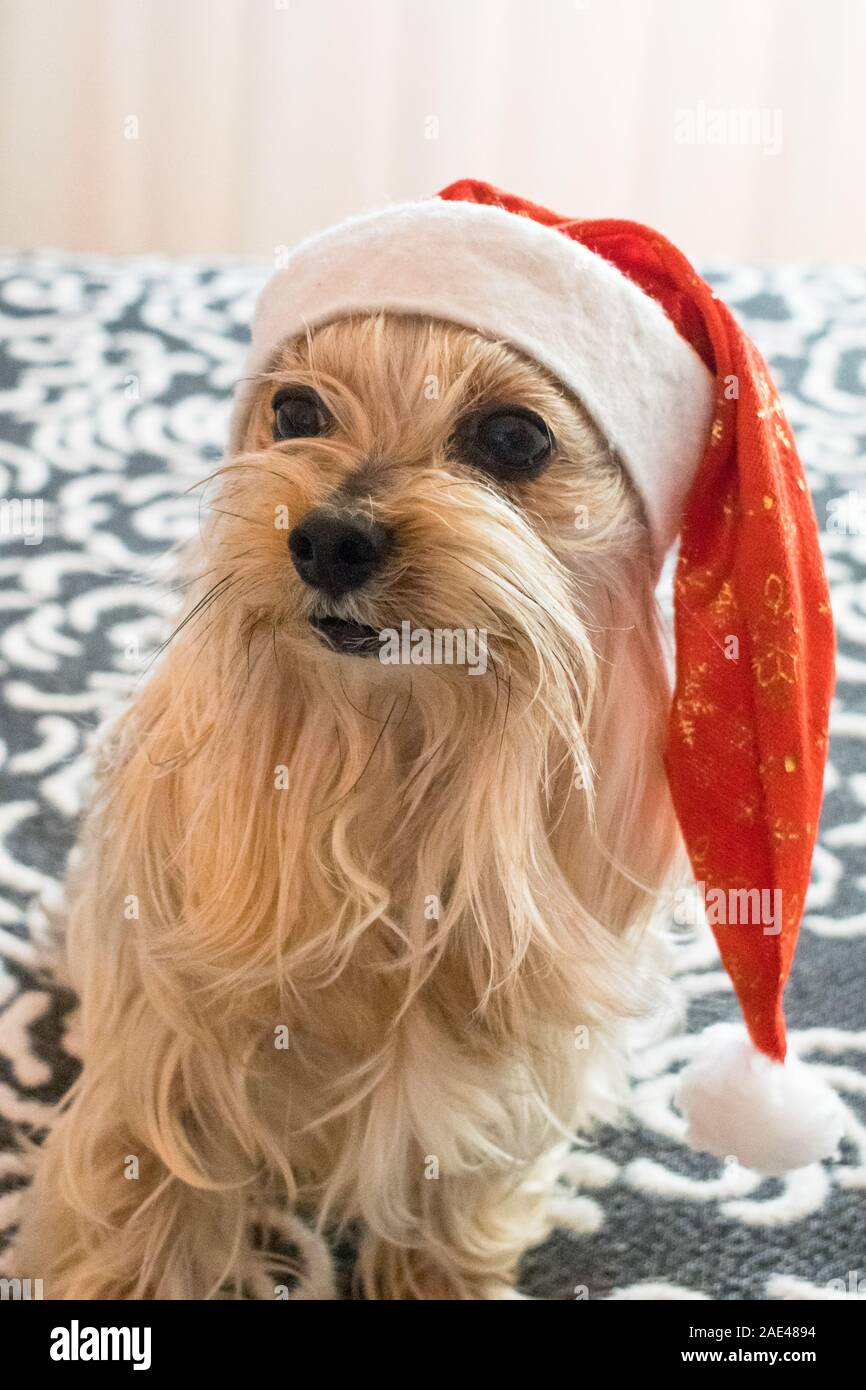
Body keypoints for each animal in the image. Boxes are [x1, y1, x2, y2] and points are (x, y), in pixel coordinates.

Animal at [16, 309, 683, 1295]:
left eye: (515, 437)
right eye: (296, 412)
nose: (328, 541)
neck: (382, 746)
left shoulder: (499, 1091)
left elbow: (459, 1191)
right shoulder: (156, 1072)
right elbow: (144, 1218)